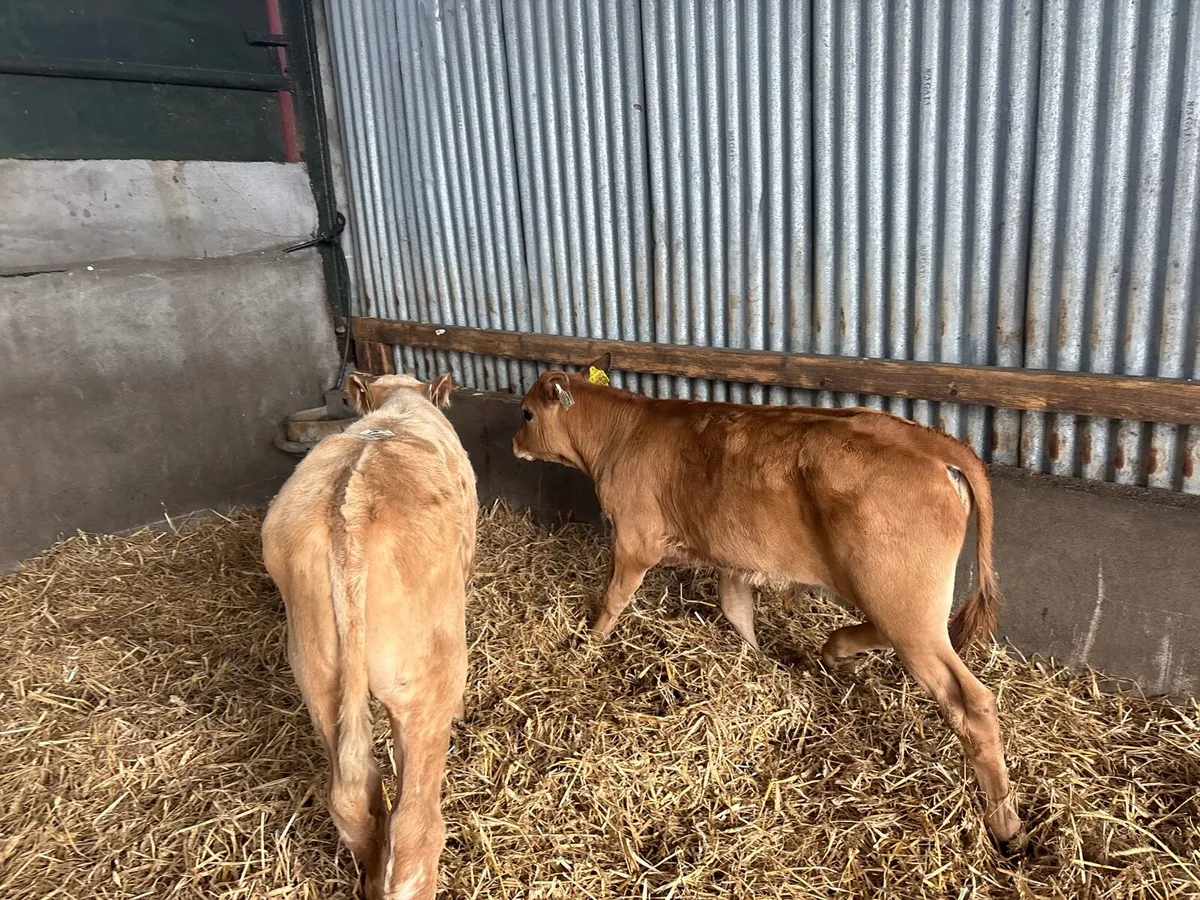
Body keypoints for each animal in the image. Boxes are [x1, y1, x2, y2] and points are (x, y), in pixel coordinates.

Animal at [512, 353, 1026, 854]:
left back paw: (1005, 824)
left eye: (527, 413)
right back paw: (837, 650)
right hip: (900, 600)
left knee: (972, 702)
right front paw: (760, 663)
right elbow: (736, 611)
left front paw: (587, 645)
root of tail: (928, 441)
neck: (623, 433)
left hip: (903, 599)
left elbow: (614, 598)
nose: (515, 442)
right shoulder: (732, 558)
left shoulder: (634, 540)